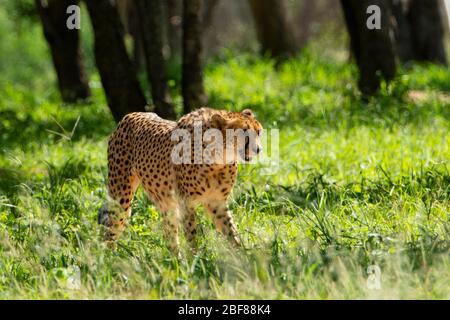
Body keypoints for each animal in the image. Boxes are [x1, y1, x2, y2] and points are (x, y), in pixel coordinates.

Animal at [98, 107, 260, 252]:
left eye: (258, 132)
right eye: (243, 133)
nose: (258, 149)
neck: (219, 159)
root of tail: (131, 114)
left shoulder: (216, 202)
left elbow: (232, 232)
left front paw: (243, 257)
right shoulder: (186, 203)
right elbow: (192, 234)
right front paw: (196, 260)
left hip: (166, 203)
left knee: (170, 235)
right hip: (121, 200)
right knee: (111, 230)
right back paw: (108, 259)